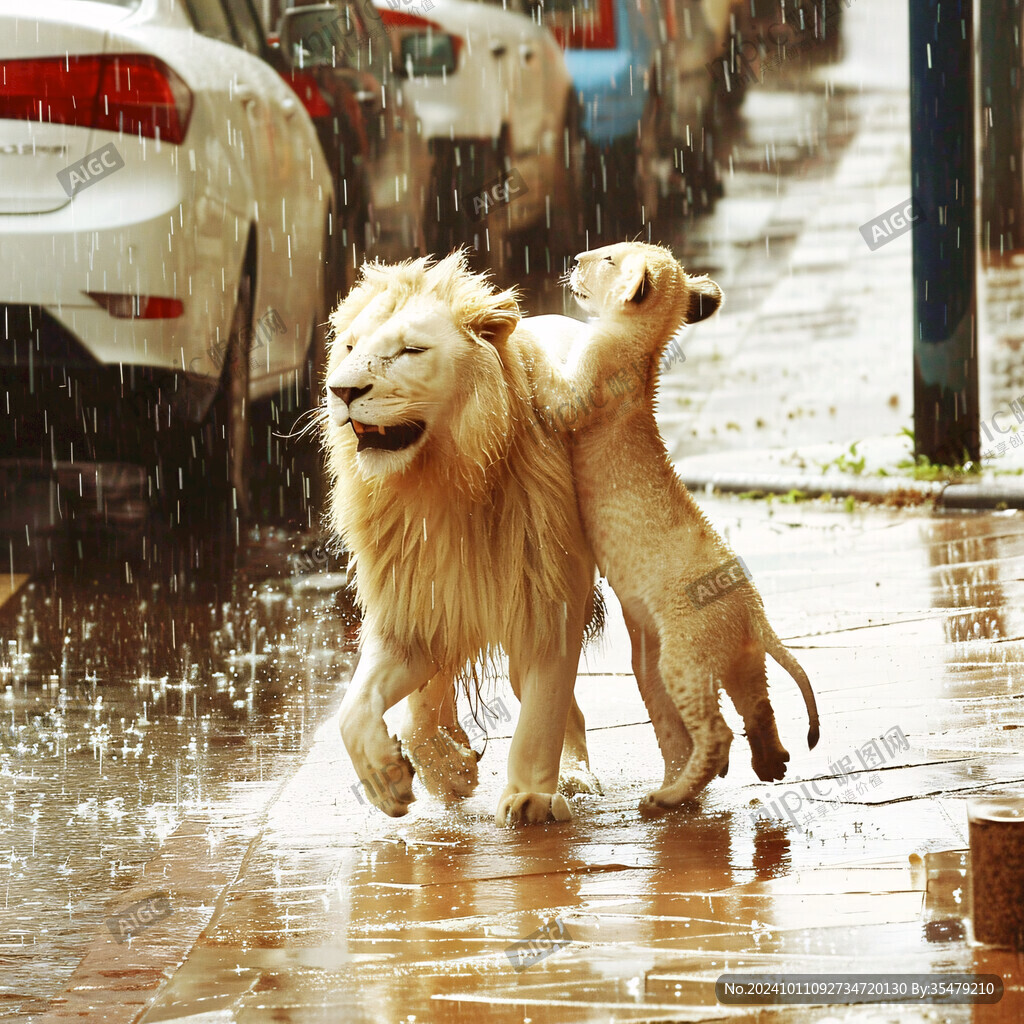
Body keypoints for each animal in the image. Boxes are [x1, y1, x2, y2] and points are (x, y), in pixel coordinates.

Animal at [321, 251, 598, 827]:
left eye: (410, 351)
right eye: (351, 348)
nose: (342, 391)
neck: (438, 484)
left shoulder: (550, 596)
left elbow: (543, 707)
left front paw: (528, 799)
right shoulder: (411, 602)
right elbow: (355, 706)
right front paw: (395, 778)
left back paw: (574, 777)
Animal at [516, 239, 819, 815]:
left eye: (608, 259)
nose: (575, 257)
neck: (641, 343)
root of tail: (753, 610)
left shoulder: (582, 390)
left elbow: (550, 384)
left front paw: (512, 325)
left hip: (683, 657)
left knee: (716, 733)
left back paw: (668, 796)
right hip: (742, 661)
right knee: (758, 707)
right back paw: (771, 764)